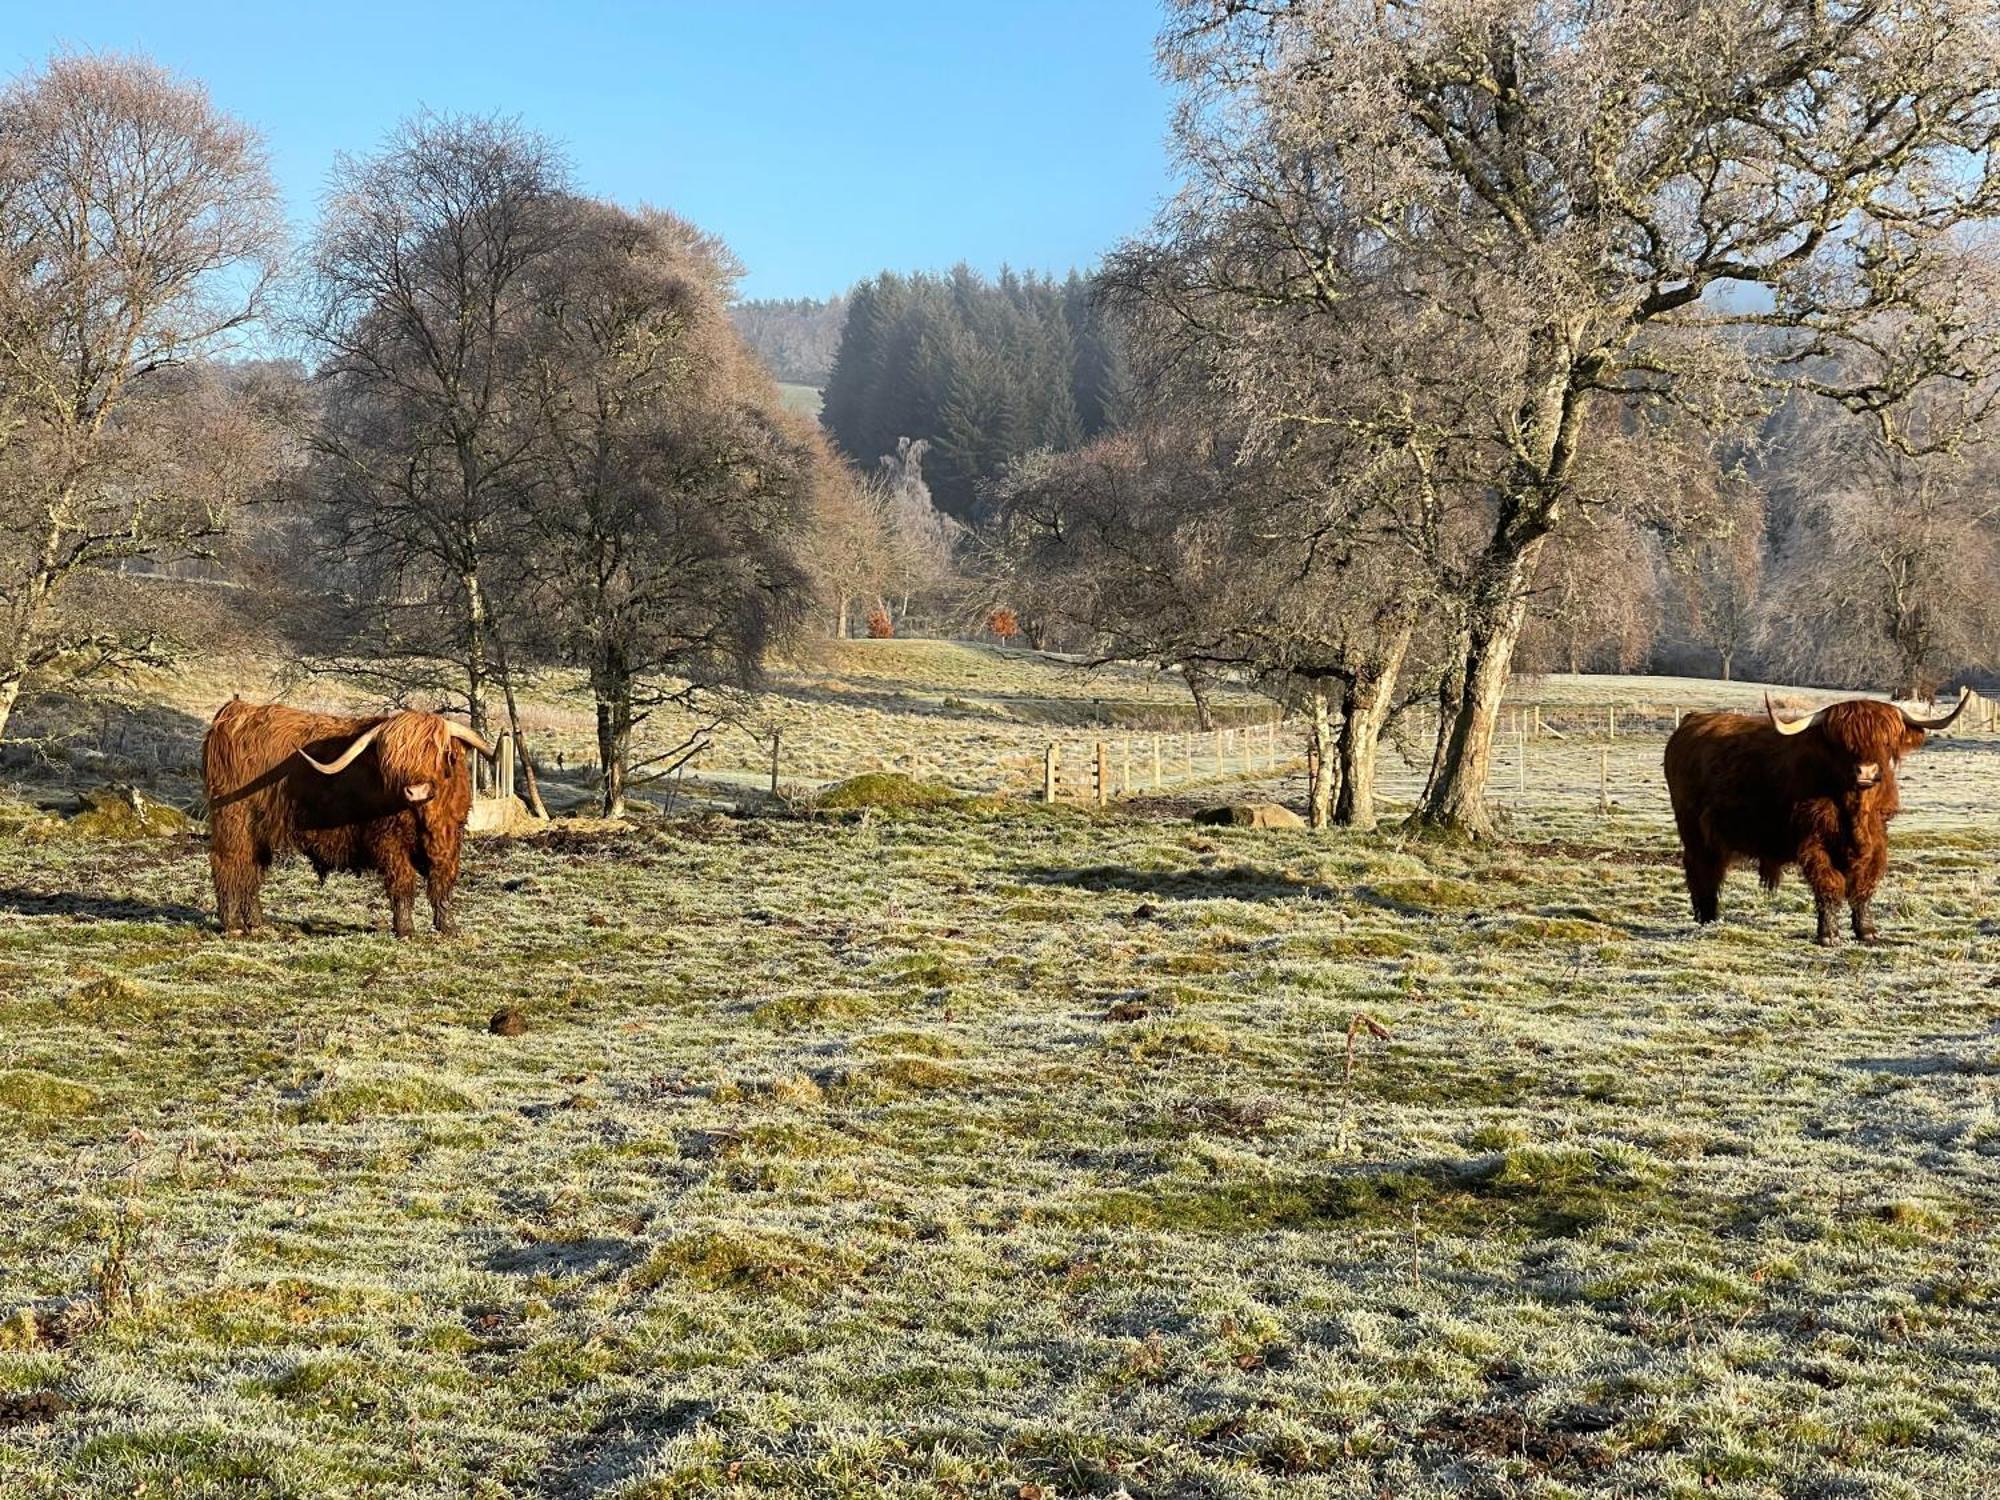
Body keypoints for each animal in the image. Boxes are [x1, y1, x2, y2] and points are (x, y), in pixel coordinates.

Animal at [201, 696, 498, 936]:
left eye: (435, 753)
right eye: (394, 761)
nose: (416, 790)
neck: (426, 815)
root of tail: (236, 712)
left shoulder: (450, 839)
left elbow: (442, 882)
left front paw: (448, 927)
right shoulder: (389, 841)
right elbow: (403, 883)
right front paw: (405, 929)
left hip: (258, 830)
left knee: (251, 869)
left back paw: (256, 924)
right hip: (234, 820)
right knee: (229, 863)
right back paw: (233, 925)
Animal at [1656, 696, 1968, 952]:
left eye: (1886, 741)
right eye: (1841, 743)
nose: (1866, 771)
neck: (1855, 810)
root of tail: (1693, 720)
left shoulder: (1878, 838)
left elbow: (1864, 884)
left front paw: (1866, 931)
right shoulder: (1814, 841)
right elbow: (1829, 884)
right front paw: (1829, 935)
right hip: (1694, 830)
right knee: (1702, 869)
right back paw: (1707, 918)